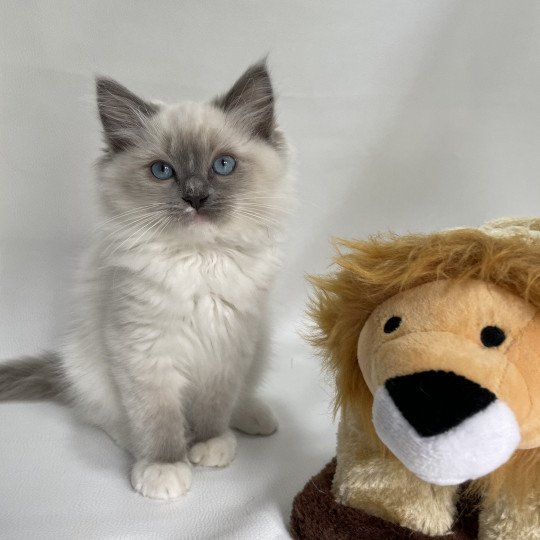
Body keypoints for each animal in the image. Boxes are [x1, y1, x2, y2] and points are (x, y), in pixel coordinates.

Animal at [0, 61, 288, 500]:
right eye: (162, 171)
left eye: (222, 165)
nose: (195, 197)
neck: (197, 262)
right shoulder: (144, 352)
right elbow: (158, 417)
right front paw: (165, 466)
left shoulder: (227, 346)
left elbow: (215, 406)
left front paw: (209, 444)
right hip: (88, 365)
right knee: (103, 414)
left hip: (259, 346)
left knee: (239, 398)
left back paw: (254, 419)